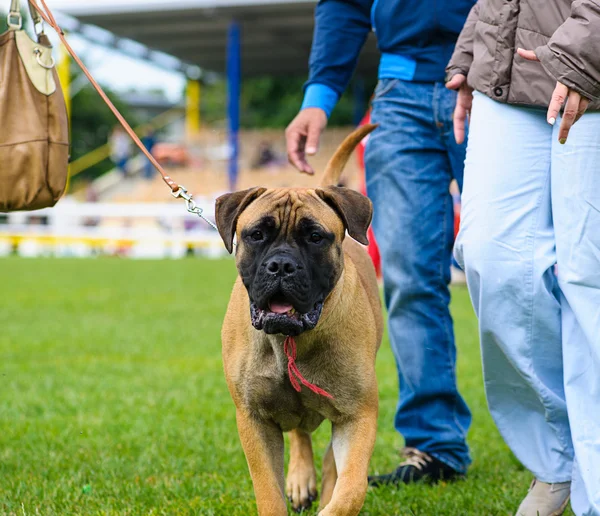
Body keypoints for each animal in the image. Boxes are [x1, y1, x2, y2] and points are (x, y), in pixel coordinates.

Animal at [216, 126, 382, 516]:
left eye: (315, 236)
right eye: (256, 234)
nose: (281, 265)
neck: (289, 341)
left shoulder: (357, 415)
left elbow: (351, 489)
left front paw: (331, 501)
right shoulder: (254, 419)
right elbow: (268, 490)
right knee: (300, 432)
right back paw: (300, 478)